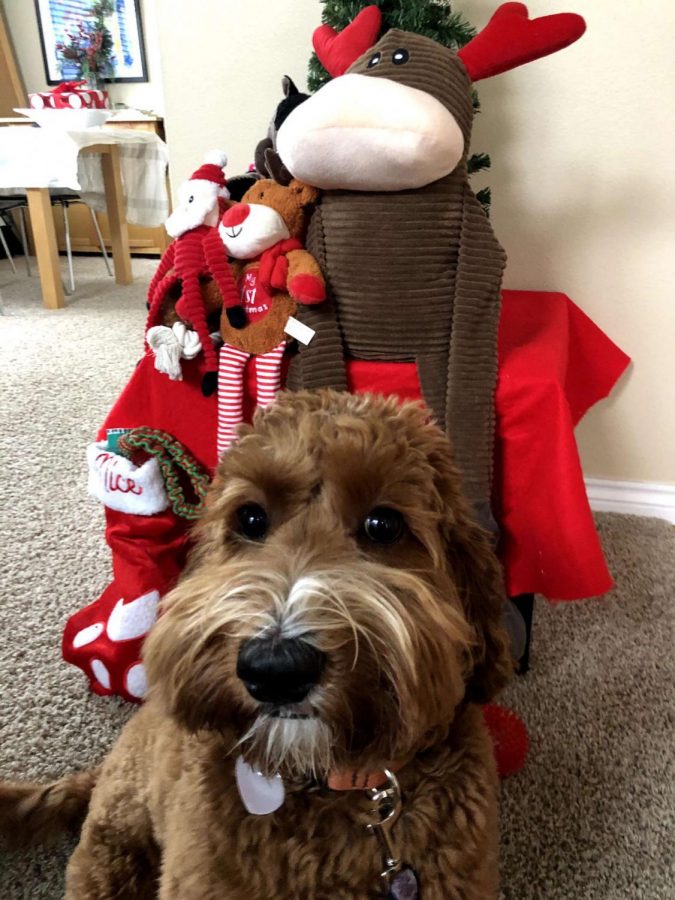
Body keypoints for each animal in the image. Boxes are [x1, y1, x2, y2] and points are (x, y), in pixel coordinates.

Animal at [1, 390, 512, 896]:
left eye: (383, 525)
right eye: (250, 518)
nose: (276, 668)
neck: (341, 786)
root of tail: (103, 770)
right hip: (111, 848)